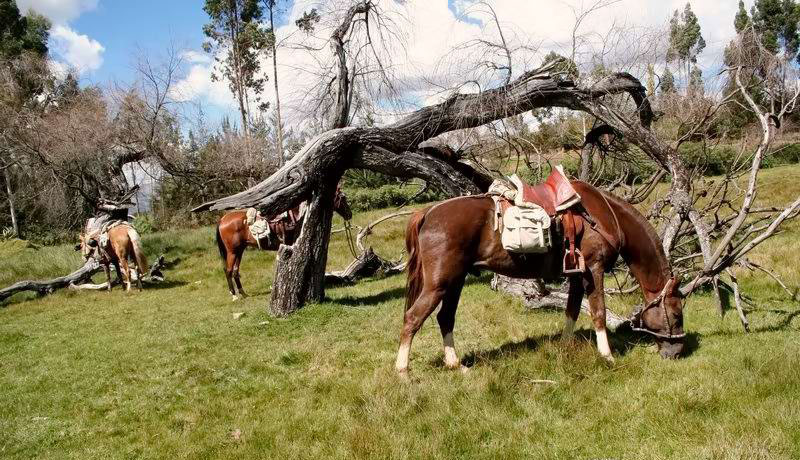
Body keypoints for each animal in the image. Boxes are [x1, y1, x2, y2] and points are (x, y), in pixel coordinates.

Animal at [214, 185, 352, 300]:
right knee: (229, 270)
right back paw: (234, 295)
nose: (349, 214)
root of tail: (222, 219)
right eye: (343, 197)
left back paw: (243, 293)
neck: (297, 215)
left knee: (235, 270)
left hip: (240, 250)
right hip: (232, 251)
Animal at [396, 178, 684, 376]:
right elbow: (598, 312)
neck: (603, 217)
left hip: (455, 281)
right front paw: (607, 356)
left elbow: (572, 310)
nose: (677, 353)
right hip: (439, 284)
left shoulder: (577, 274)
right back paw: (403, 372)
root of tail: (428, 212)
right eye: (677, 314)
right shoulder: (594, 269)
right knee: (412, 318)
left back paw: (456, 364)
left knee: (445, 318)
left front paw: (566, 347)